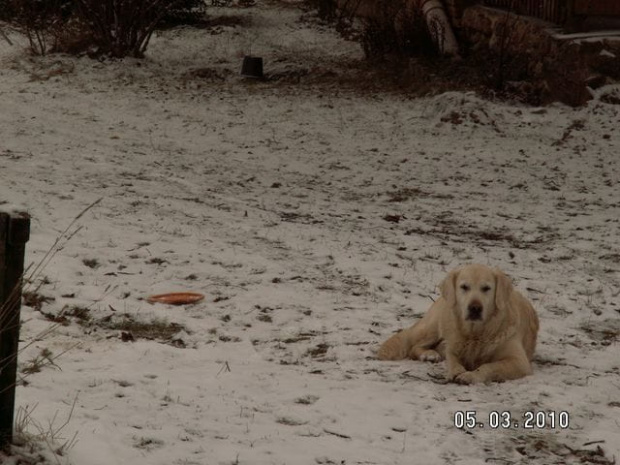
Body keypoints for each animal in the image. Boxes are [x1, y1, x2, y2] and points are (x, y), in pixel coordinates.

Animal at [378, 262, 536, 382]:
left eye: (486, 288)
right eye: (464, 287)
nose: (475, 308)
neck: (476, 334)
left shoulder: (519, 362)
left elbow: (488, 366)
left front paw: (471, 375)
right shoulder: (452, 348)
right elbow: (452, 361)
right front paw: (457, 371)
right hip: (434, 327)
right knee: (414, 346)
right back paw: (429, 354)